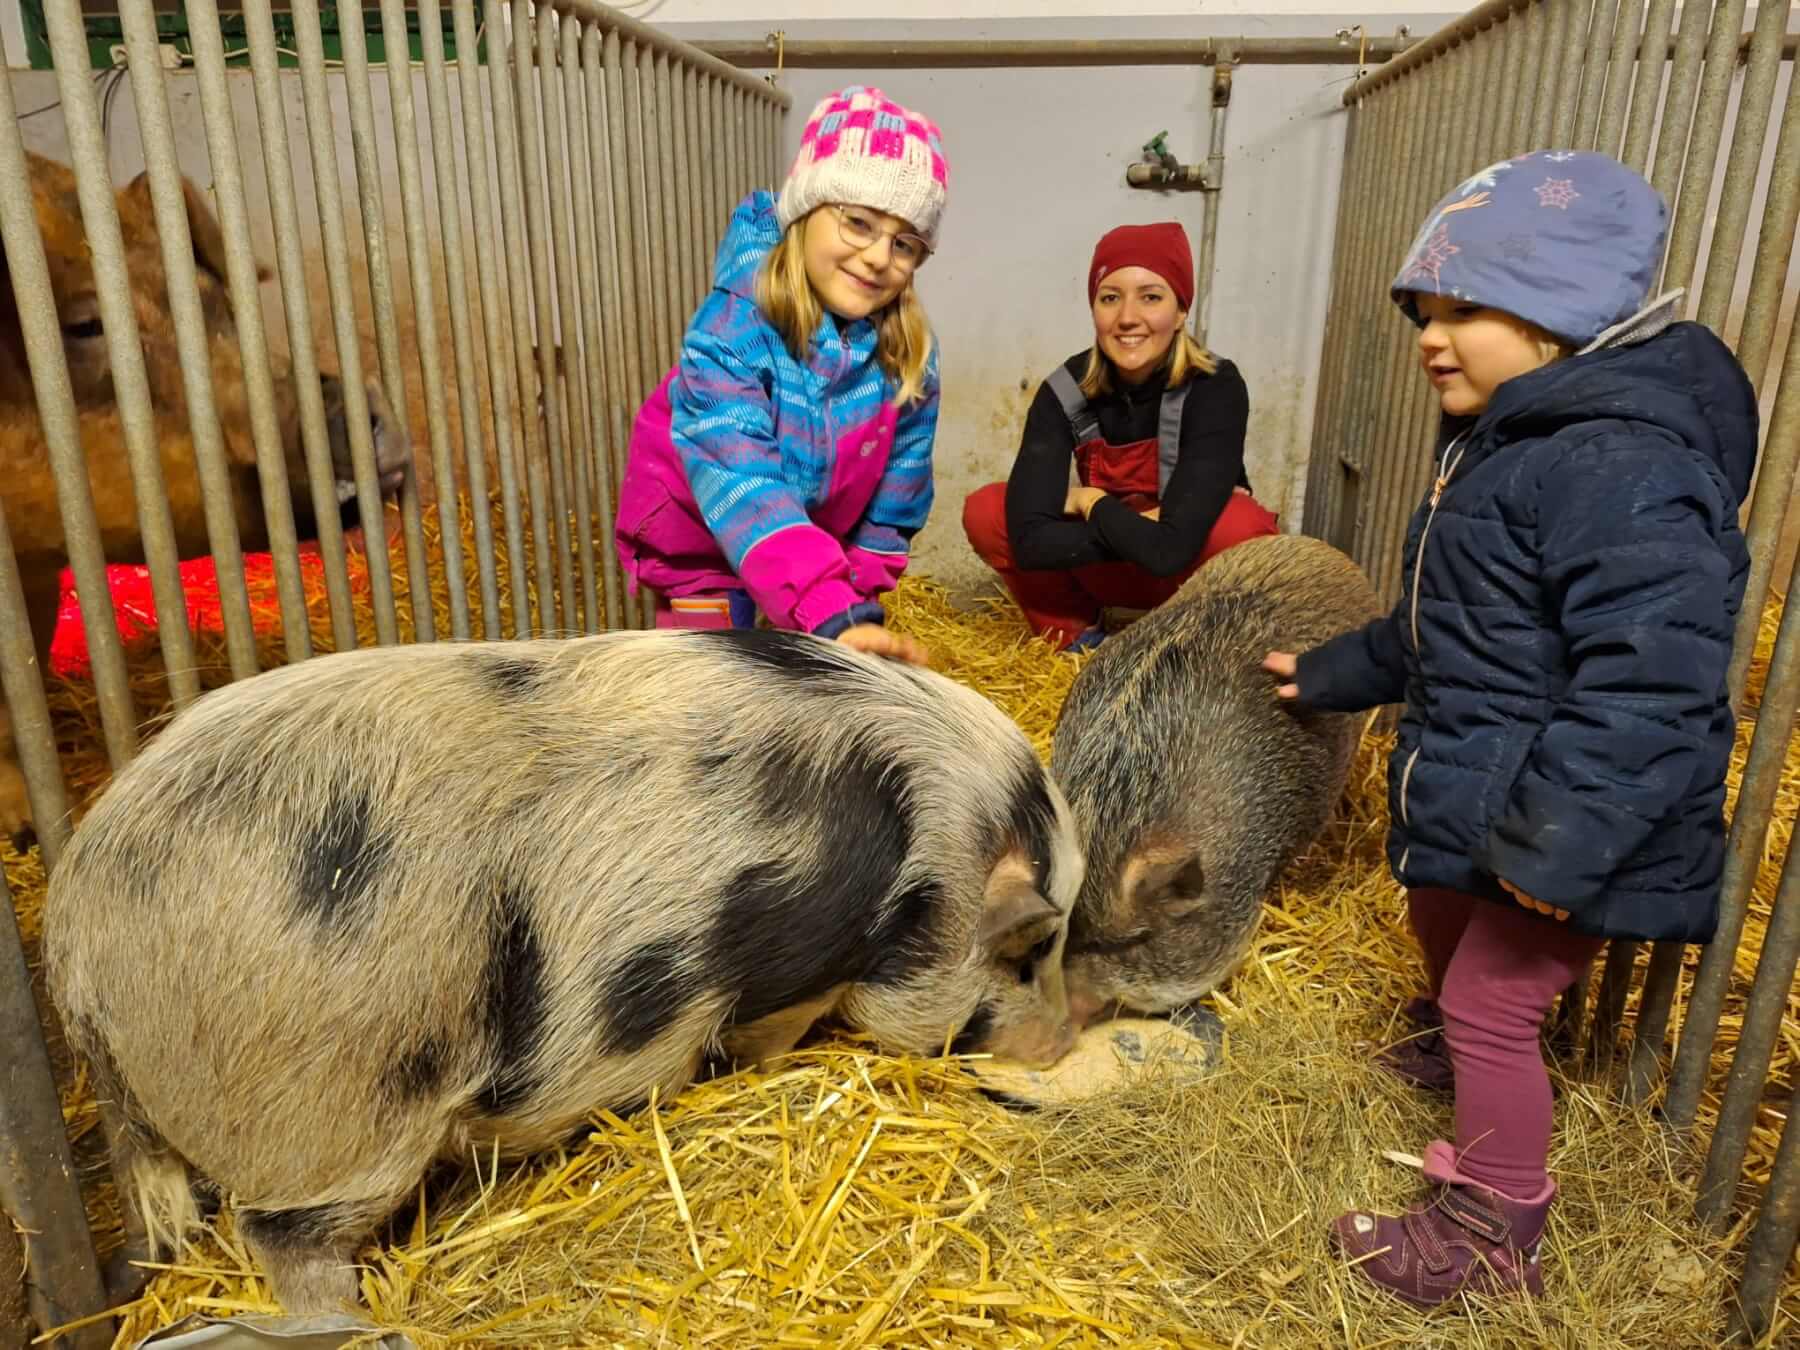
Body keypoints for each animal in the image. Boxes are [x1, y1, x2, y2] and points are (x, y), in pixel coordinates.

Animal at [43, 625, 1083, 1313]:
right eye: (1030, 952)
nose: (1062, 1041)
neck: (926, 846)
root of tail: (76, 943)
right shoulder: (787, 969)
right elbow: (770, 1030)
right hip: (330, 1107)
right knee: (285, 1240)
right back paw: (355, 1317)